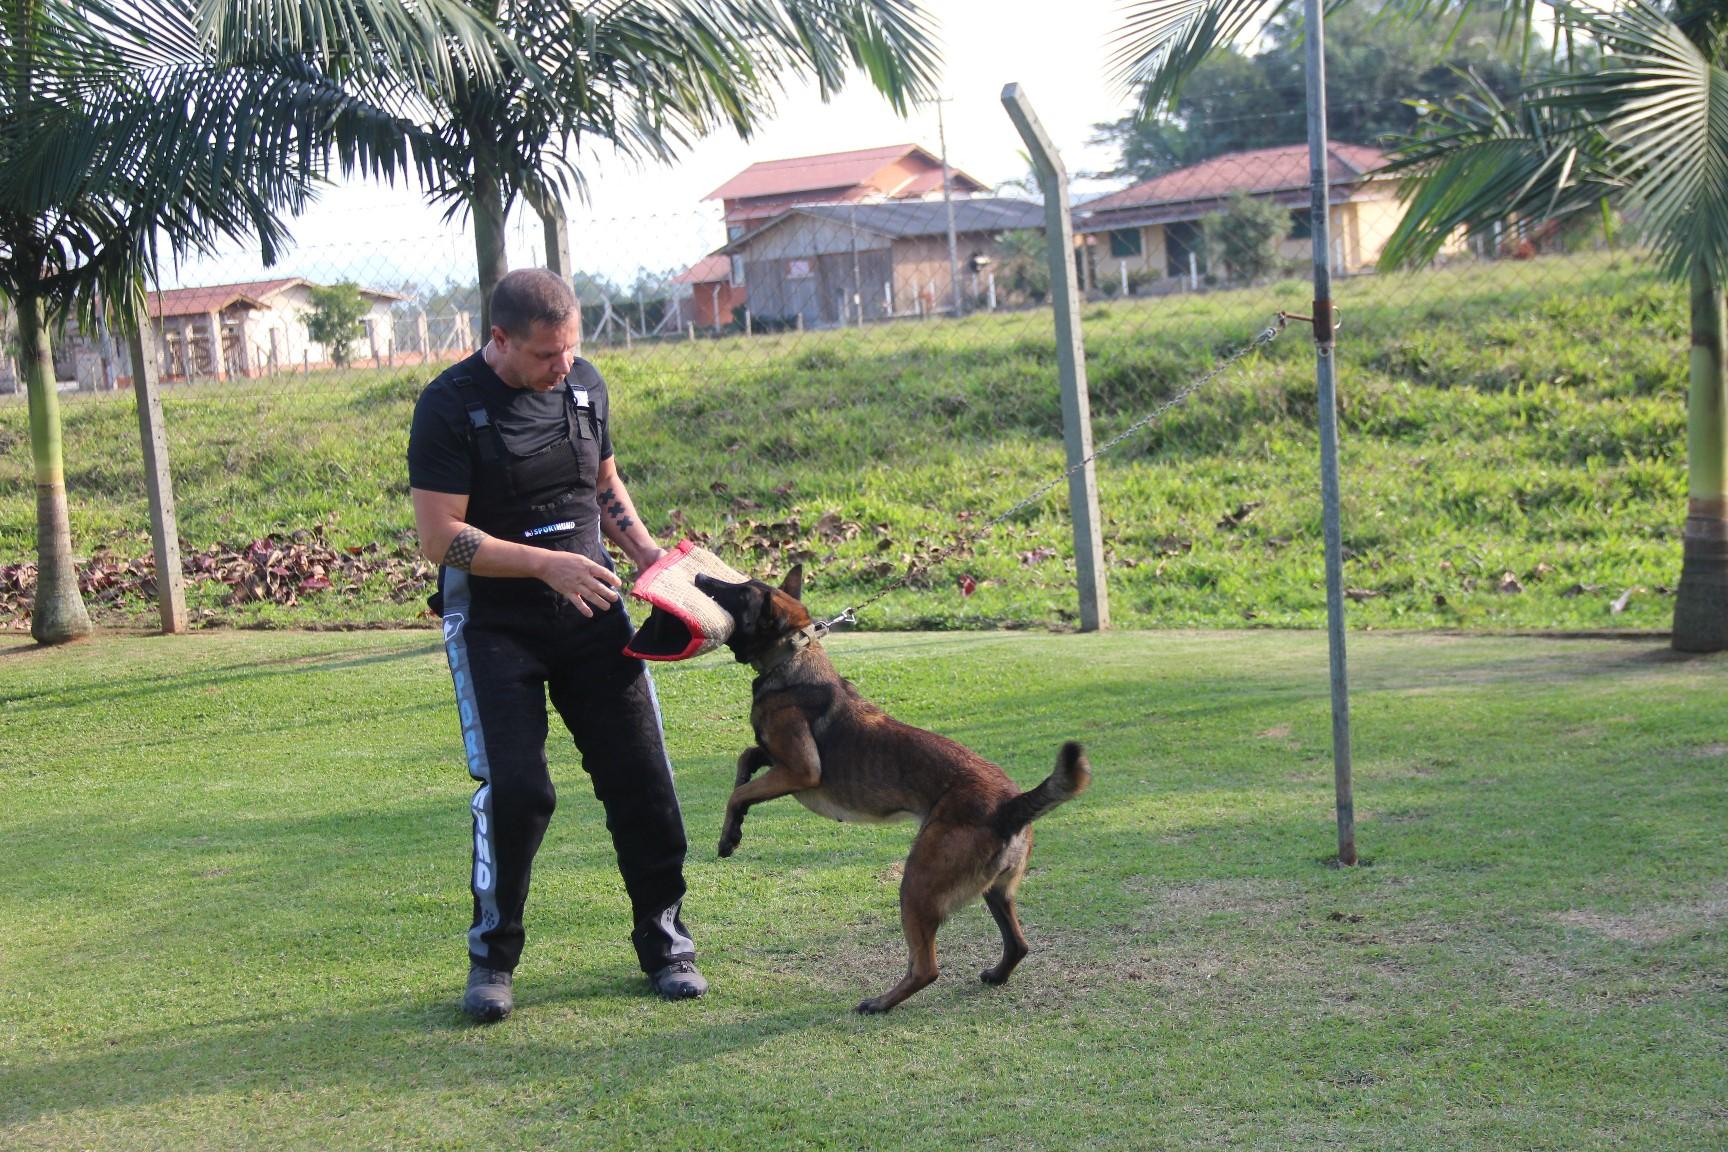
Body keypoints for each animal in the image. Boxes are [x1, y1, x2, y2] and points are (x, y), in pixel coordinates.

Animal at [691, 573, 1085, 1015]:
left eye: (741, 591)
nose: (701, 576)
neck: (792, 659)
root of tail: (1011, 806)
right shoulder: (776, 760)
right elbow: (746, 760)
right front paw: (737, 822)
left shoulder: (800, 770)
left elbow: (737, 793)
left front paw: (728, 837)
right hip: (994, 892)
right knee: (1018, 944)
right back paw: (996, 976)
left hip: (917, 884)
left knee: (927, 968)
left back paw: (881, 1002)